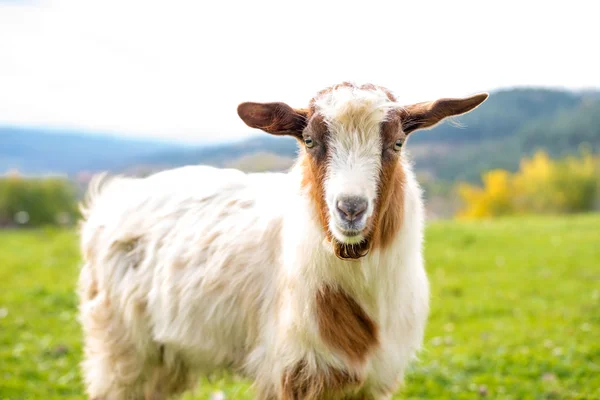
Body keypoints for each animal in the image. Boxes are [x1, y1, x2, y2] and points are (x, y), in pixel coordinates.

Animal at [78, 83, 488, 398]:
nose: (350, 208)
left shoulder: (374, 378)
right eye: (308, 140)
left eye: (398, 143)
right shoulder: (295, 369)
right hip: (119, 347)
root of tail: (112, 197)